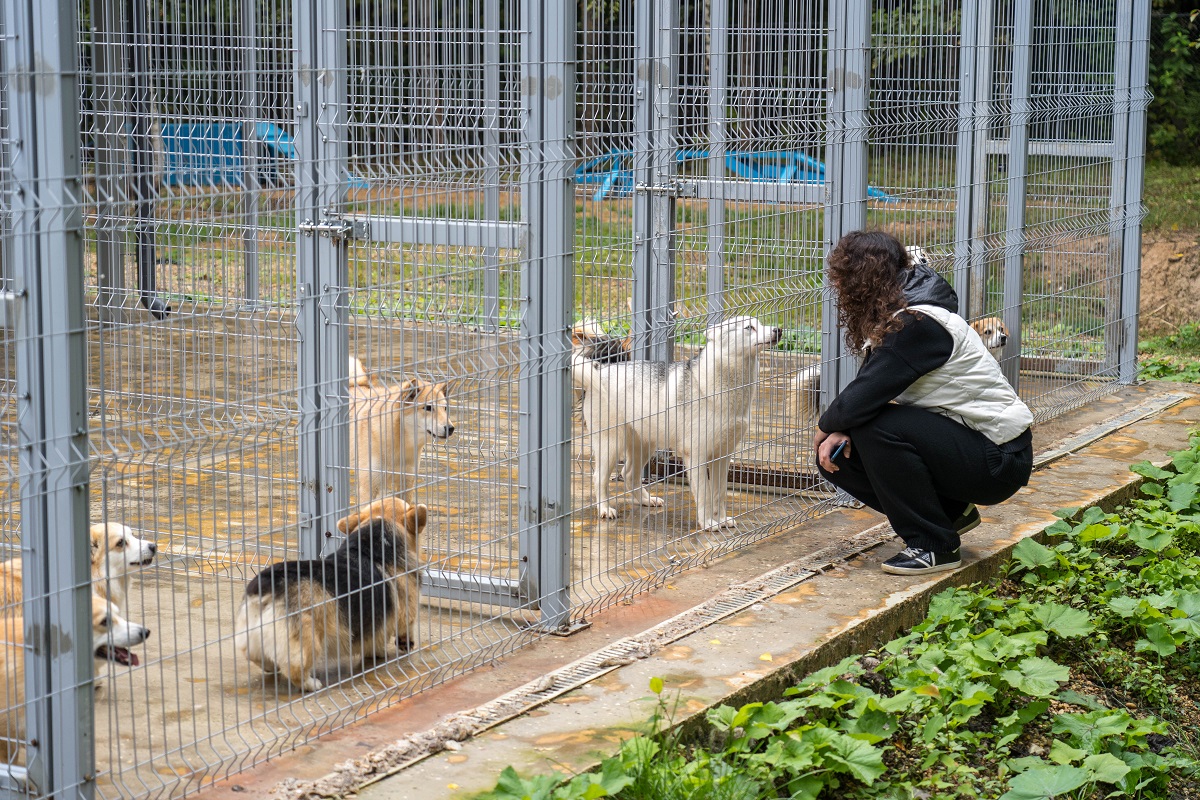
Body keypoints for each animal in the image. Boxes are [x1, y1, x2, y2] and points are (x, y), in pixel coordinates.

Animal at [232, 496, 427, 690]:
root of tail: (267, 586)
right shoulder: (406, 611)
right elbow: (404, 629)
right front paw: (403, 646)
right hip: (307, 640)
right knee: (295, 669)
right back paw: (312, 684)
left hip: (251, 636)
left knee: (256, 656)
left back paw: (271, 667)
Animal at [573, 314, 782, 532]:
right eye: (749, 327)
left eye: (761, 324)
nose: (778, 330)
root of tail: (601, 369)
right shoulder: (697, 456)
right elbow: (705, 494)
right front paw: (708, 523)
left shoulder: (723, 456)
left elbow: (720, 494)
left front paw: (722, 520)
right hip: (611, 444)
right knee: (600, 478)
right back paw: (605, 509)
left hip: (644, 445)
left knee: (629, 474)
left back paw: (646, 500)